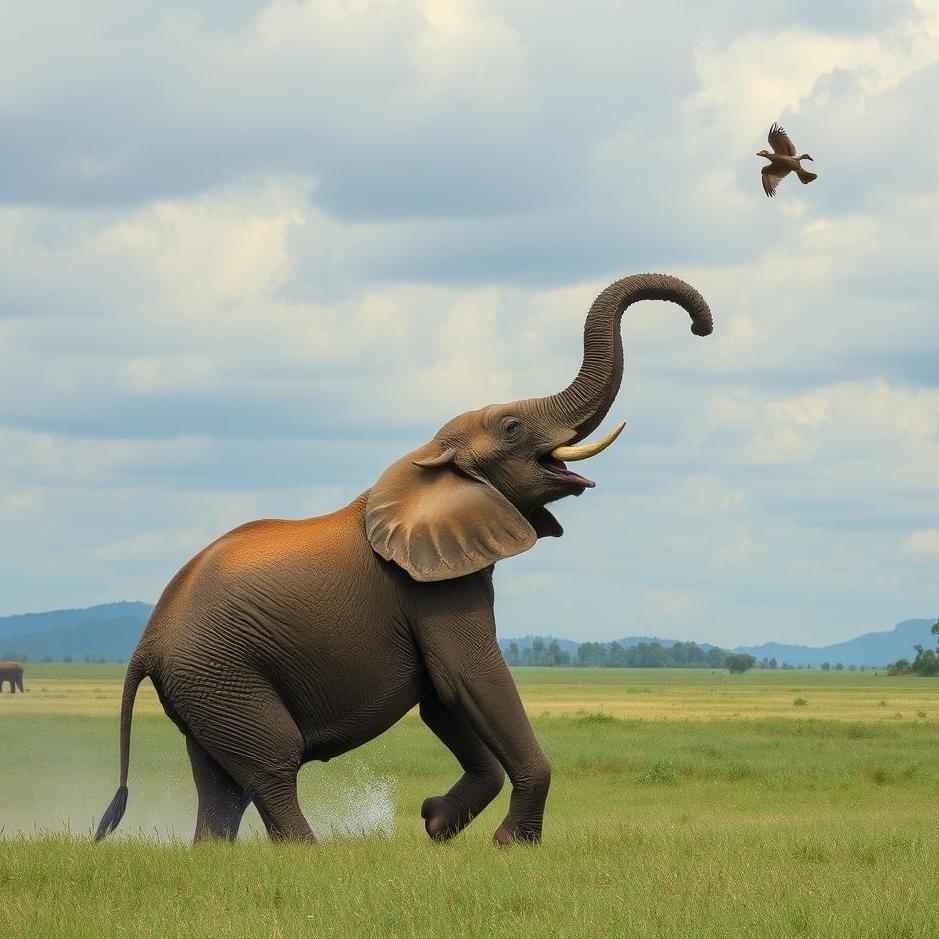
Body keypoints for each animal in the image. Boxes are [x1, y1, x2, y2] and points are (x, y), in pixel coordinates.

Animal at [95, 272, 713, 846]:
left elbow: (444, 699)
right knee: (271, 761)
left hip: (205, 686)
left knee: (220, 780)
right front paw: (511, 845)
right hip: (222, 673)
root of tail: (146, 643)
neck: (429, 458)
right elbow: (470, 678)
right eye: (512, 426)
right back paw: (308, 854)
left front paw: (436, 823)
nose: (700, 329)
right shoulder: (428, 586)